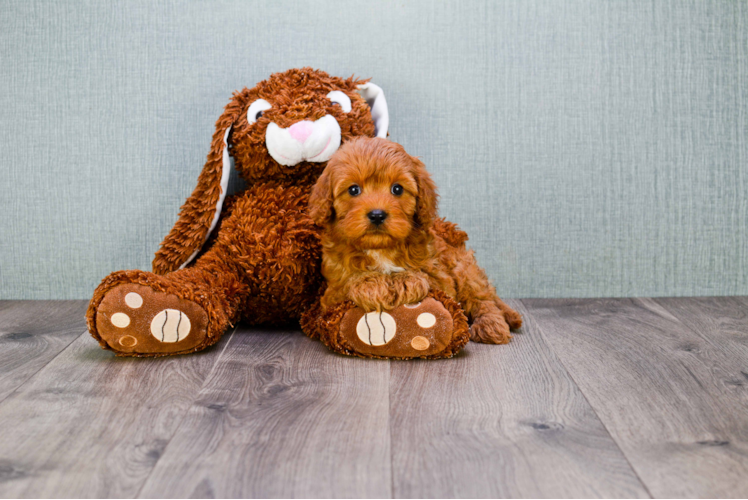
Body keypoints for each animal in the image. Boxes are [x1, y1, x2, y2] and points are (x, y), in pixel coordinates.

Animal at [308, 137, 520, 344]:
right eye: (353, 190)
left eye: (397, 189)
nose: (377, 215)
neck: (381, 248)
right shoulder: (330, 293)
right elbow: (349, 281)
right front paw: (371, 283)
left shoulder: (442, 279)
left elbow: (427, 277)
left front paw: (406, 280)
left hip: (464, 269)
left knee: (483, 299)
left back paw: (491, 325)